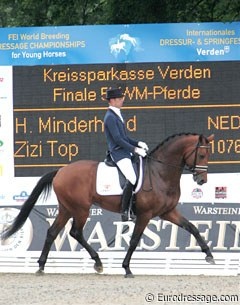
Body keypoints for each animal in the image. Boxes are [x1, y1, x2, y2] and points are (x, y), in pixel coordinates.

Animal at [1, 132, 216, 276]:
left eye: (208, 155)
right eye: (202, 155)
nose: (202, 180)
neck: (160, 173)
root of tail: (61, 171)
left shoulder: (168, 212)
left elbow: (192, 227)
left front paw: (209, 255)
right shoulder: (145, 214)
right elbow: (134, 240)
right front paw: (127, 268)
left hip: (66, 208)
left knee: (53, 232)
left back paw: (41, 266)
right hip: (81, 209)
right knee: (75, 232)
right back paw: (97, 263)